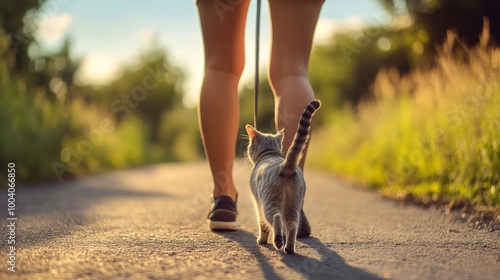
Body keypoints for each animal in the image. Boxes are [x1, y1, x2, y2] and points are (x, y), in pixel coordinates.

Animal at [245, 99, 320, 254]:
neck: (270, 154)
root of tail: (285, 165)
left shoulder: (257, 203)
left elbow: (262, 225)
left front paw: (261, 240)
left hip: (269, 202)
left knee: (276, 218)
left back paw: (278, 241)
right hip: (294, 205)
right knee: (292, 224)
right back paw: (289, 248)